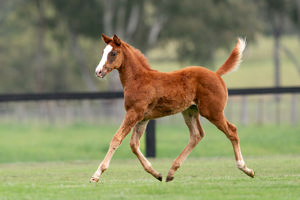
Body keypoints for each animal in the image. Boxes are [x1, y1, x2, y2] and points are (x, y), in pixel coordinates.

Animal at [90, 34, 254, 183]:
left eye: (113, 53)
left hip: (212, 112)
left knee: (232, 131)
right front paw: (156, 174)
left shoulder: (134, 113)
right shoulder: (143, 117)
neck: (139, 79)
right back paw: (170, 172)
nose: (98, 72)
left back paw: (246, 169)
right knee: (197, 135)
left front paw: (96, 175)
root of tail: (216, 74)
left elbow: (116, 139)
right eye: (103, 51)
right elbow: (134, 145)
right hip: (190, 111)